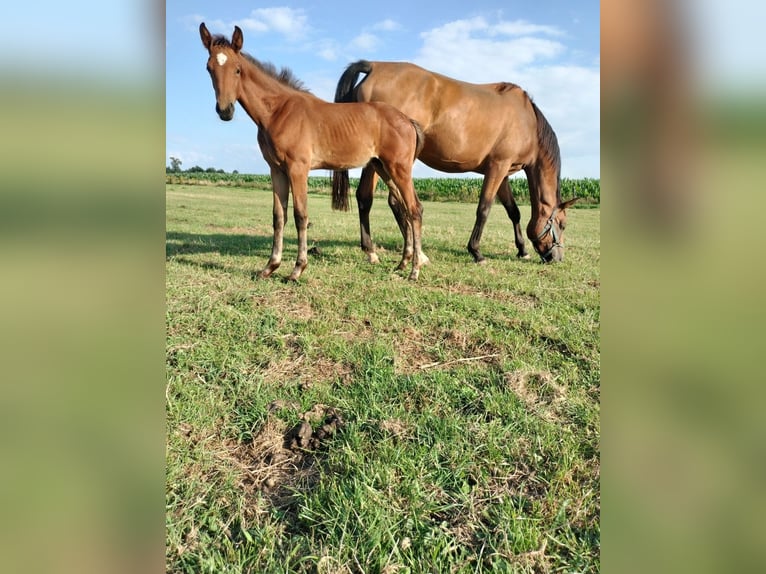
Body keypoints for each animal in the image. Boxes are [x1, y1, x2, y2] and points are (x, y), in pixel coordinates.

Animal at [198, 24, 428, 282]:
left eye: (237, 69)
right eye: (209, 68)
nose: (225, 111)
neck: (278, 111)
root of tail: (407, 120)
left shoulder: (298, 168)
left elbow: (300, 215)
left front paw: (297, 269)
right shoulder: (276, 170)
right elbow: (279, 216)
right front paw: (270, 266)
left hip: (399, 168)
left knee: (414, 209)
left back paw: (414, 271)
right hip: (383, 168)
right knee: (404, 207)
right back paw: (403, 263)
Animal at [332, 60, 580, 264]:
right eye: (562, 224)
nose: (557, 258)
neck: (527, 120)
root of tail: (375, 66)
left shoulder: (504, 172)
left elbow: (513, 211)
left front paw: (522, 250)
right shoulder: (497, 167)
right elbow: (484, 208)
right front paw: (476, 252)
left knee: (375, 199)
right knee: (385, 200)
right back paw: (402, 251)